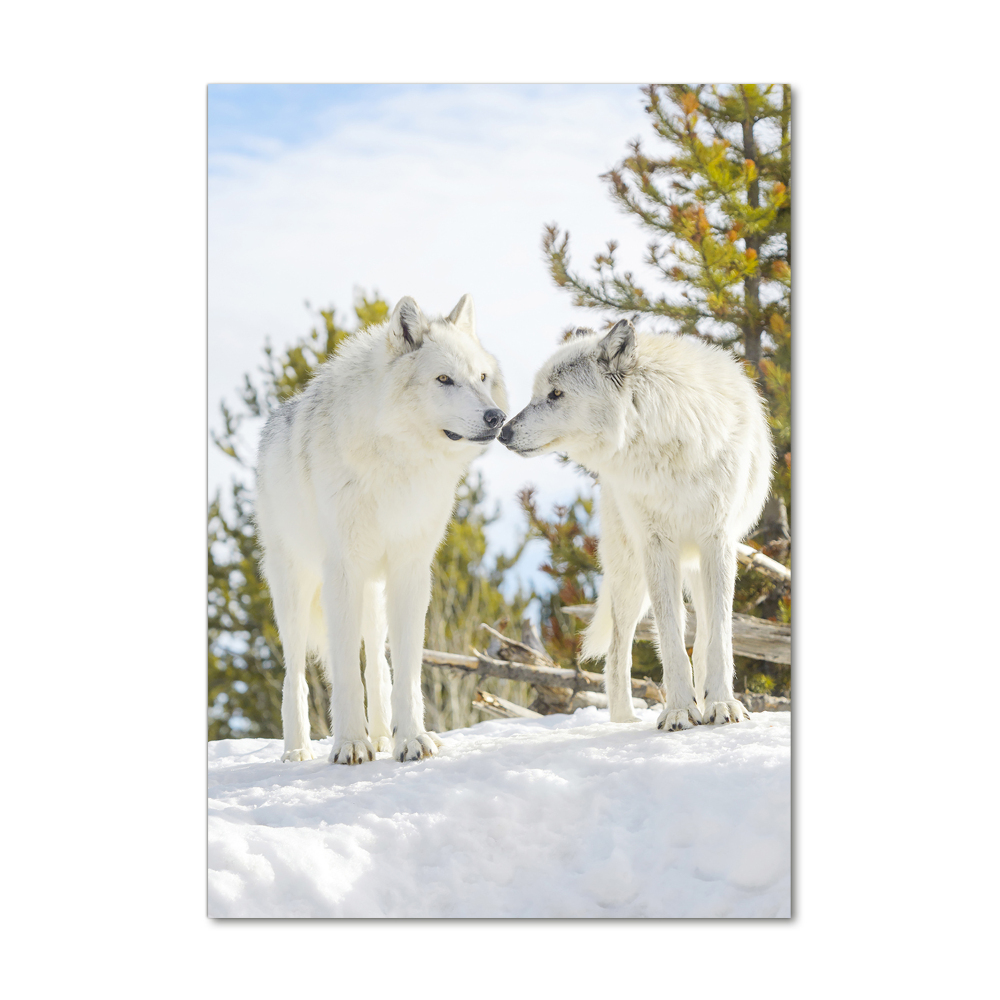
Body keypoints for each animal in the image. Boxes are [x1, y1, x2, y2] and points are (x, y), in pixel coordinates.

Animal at [256, 292, 508, 760]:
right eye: (444, 379)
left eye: (482, 377)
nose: (496, 417)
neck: (398, 463)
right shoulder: (342, 572)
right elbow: (343, 672)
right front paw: (350, 746)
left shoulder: (411, 570)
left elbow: (406, 671)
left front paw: (411, 740)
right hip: (295, 589)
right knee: (295, 672)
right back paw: (298, 751)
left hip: (374, 592)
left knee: (376, 664)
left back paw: (382, 737)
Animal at [500, 324, 772, 732]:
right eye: (538, 393)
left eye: (555, 394)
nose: (503, 431)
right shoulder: (656, 545)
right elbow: (671, 640)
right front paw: (679, 711)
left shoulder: (717, 540)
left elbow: (720, 637)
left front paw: (722, 704)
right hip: (631, 578)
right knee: (617, 651)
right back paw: (624, 722)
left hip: (694, 564)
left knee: (704, 633)